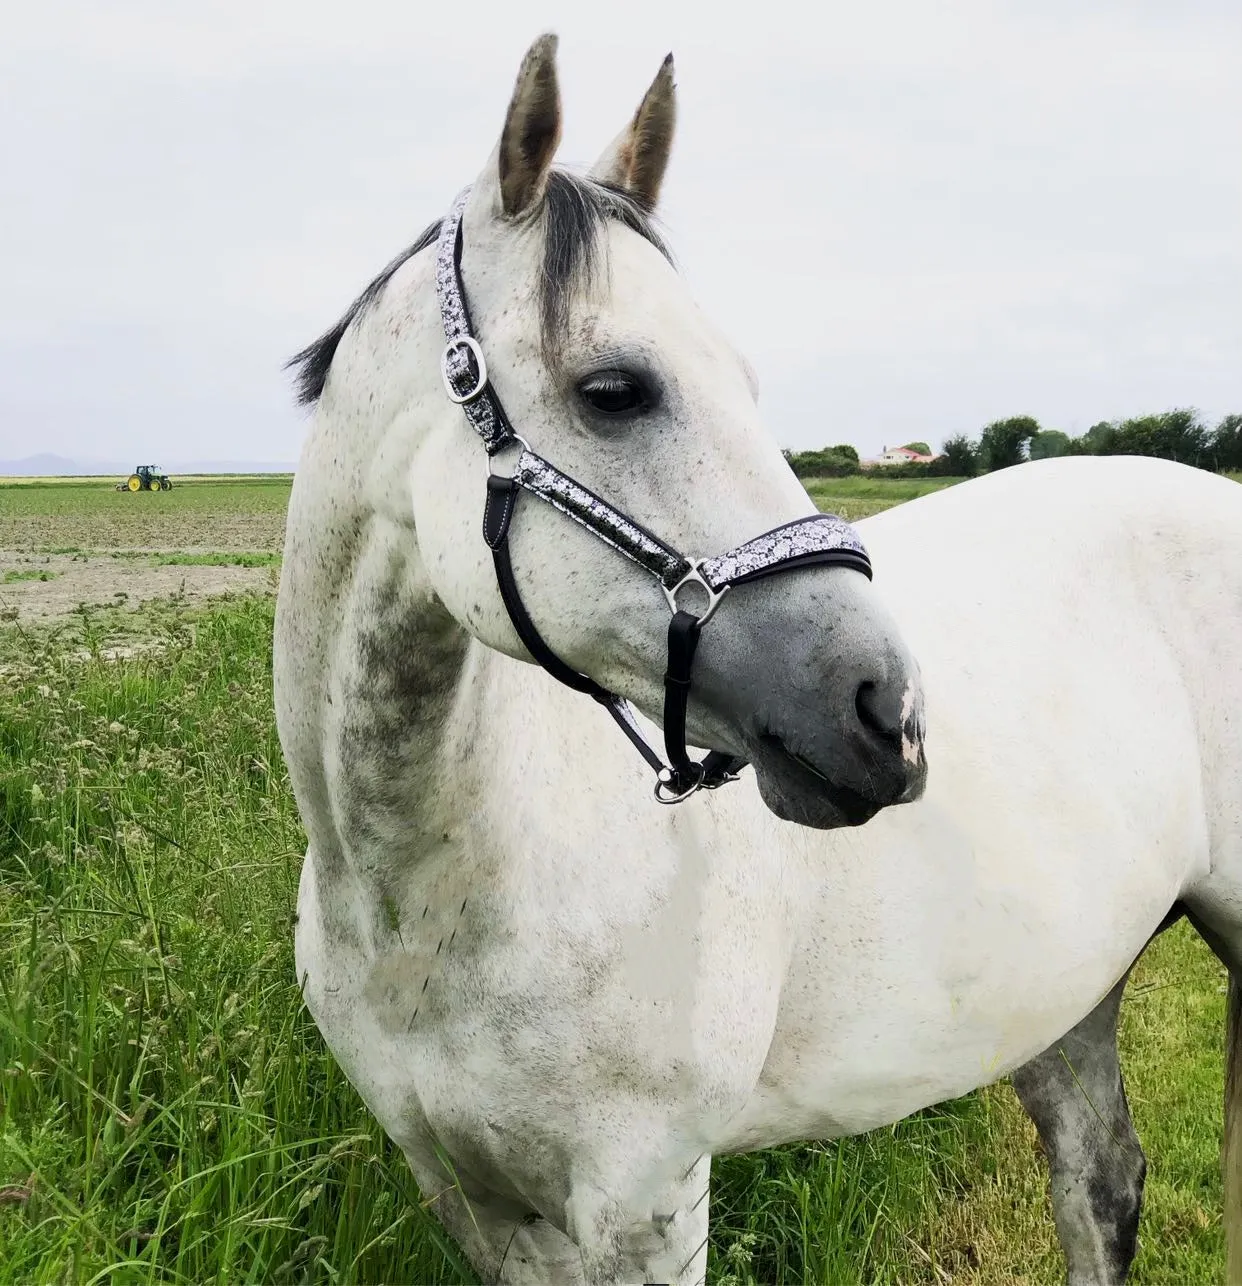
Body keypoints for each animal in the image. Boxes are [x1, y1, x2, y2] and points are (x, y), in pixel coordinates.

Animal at [277, 35, 1242, 1286]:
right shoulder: (471, 1199)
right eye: (615, 389)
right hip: (1067, 988)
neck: (433, 887)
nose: (889, 714)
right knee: (1100, 1183)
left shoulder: (646, 1199)